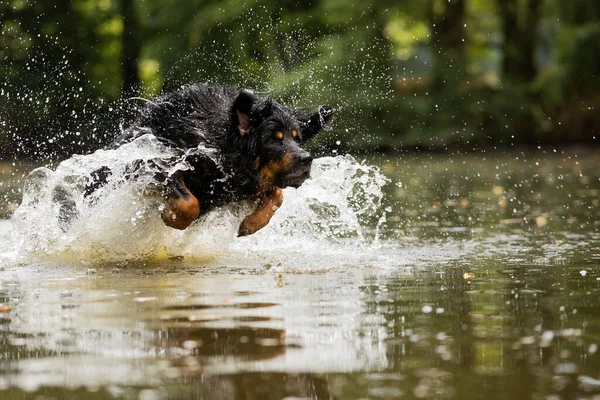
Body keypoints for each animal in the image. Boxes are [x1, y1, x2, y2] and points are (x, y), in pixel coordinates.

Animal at [82, 84, 336, 234]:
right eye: (274, 140)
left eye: (297, 139)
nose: (307, 159)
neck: (218, 147)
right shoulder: (156, 164)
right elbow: (189, 203)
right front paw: (172, 217)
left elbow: (277, 194)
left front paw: (252, 224)